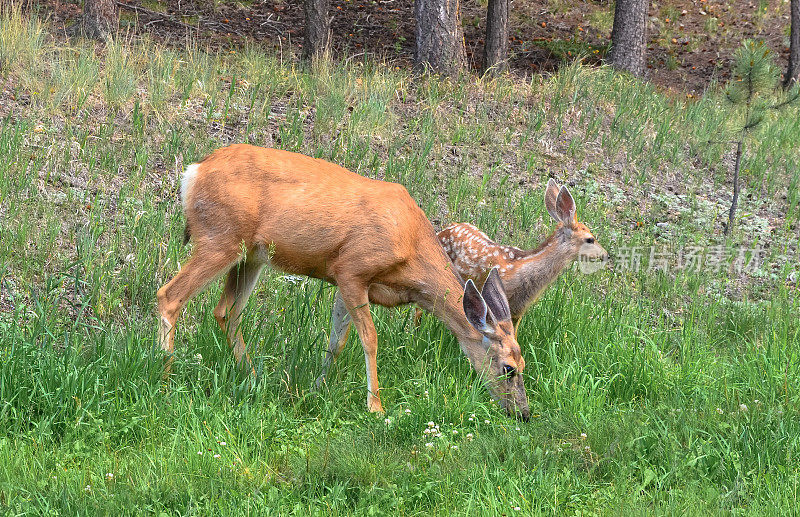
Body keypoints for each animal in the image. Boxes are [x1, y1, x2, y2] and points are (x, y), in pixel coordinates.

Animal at [157, 144, 532, 420]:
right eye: (508, 369)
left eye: (524, 364)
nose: (524, 414)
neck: (412, 252)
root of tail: (193, 172)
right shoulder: (353, 268)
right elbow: (369, 338)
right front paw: (376, 406)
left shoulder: (343, 280)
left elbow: (337, 340)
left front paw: (317, 388)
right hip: (220, 237)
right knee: (169, 295)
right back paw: (164, 377)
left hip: (250, 255)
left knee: (226, 311)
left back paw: (253, 377)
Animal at [322, 179, 608, 380]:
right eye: (590, 238)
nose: (606, 255)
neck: (524, 271)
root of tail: (445, 228)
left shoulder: (516, 312)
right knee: (418, 309)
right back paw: (415, 336)